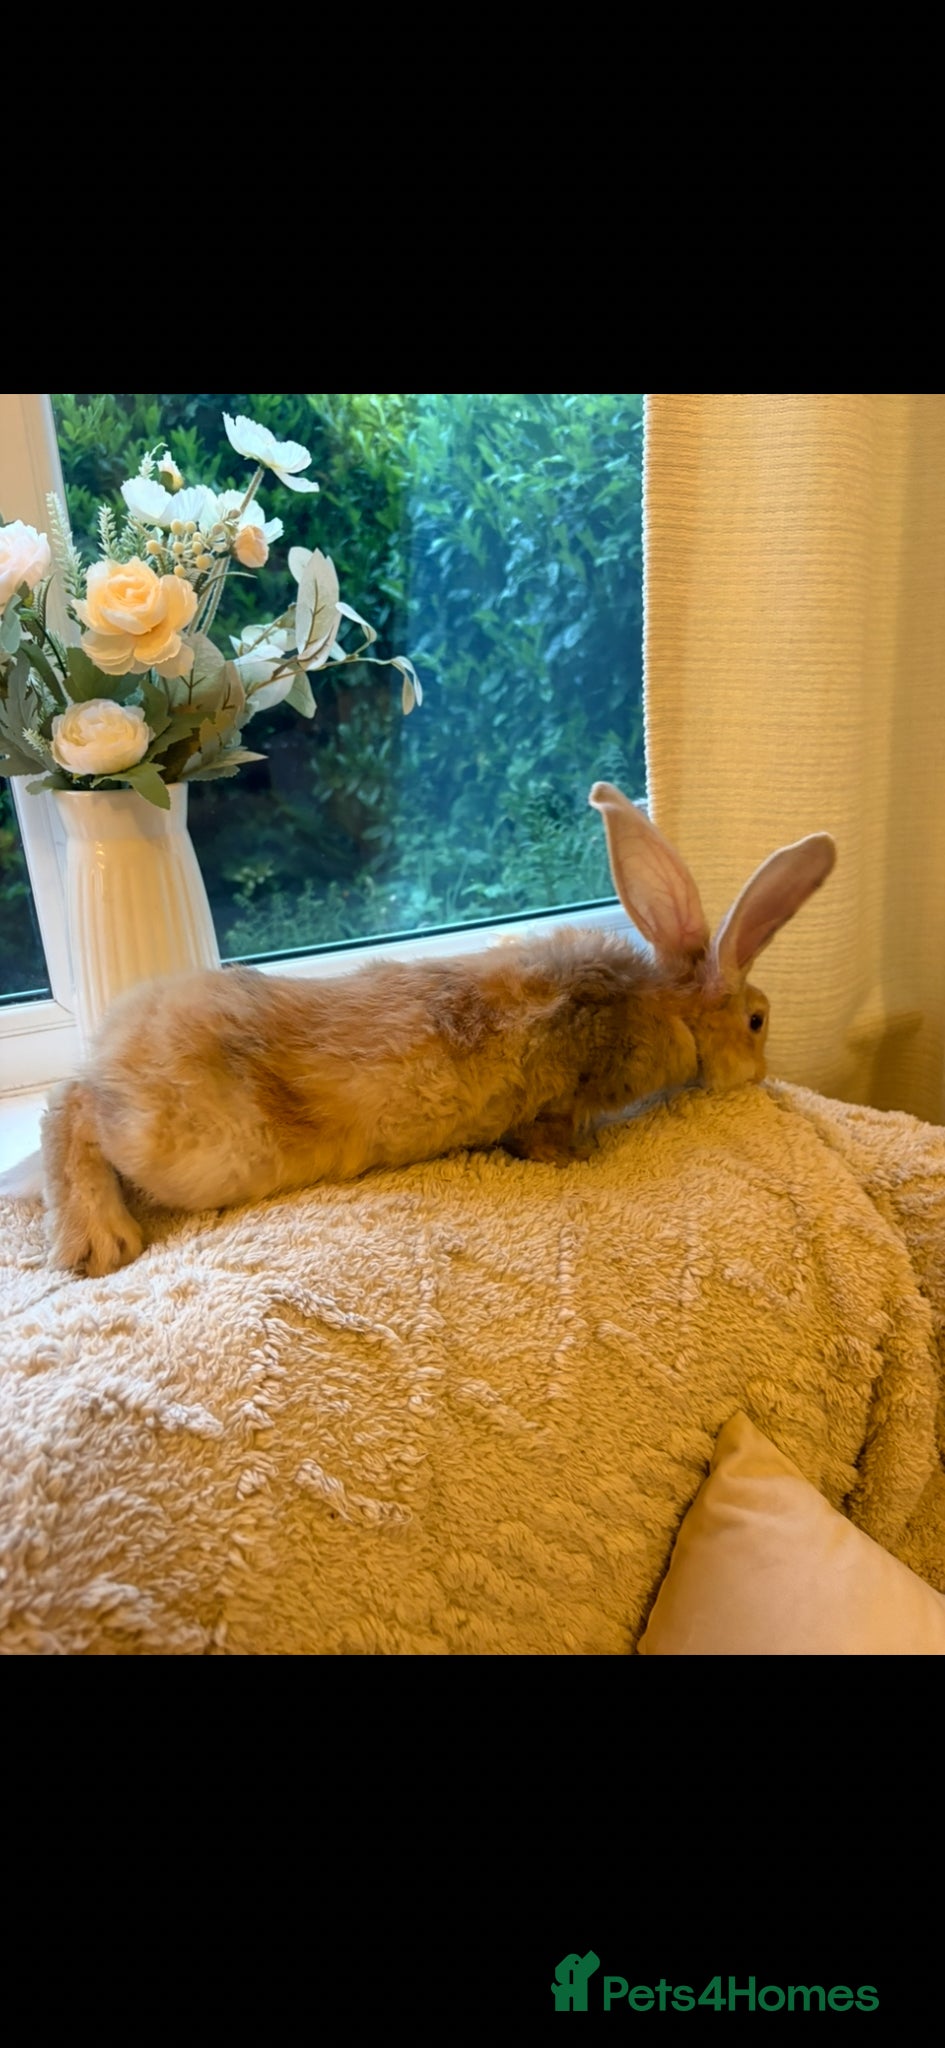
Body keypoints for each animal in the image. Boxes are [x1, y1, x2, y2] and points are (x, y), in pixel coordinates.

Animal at [1, 782, 835, 1278]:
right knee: (67, 1108)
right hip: (186, 1143)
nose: (759, 1075)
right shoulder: (561, 1094)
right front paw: (573, 1160)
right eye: (756, 1020)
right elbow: (549, 1133)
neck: (659, 1004)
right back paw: (99, 1241)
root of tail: (115, 1051)